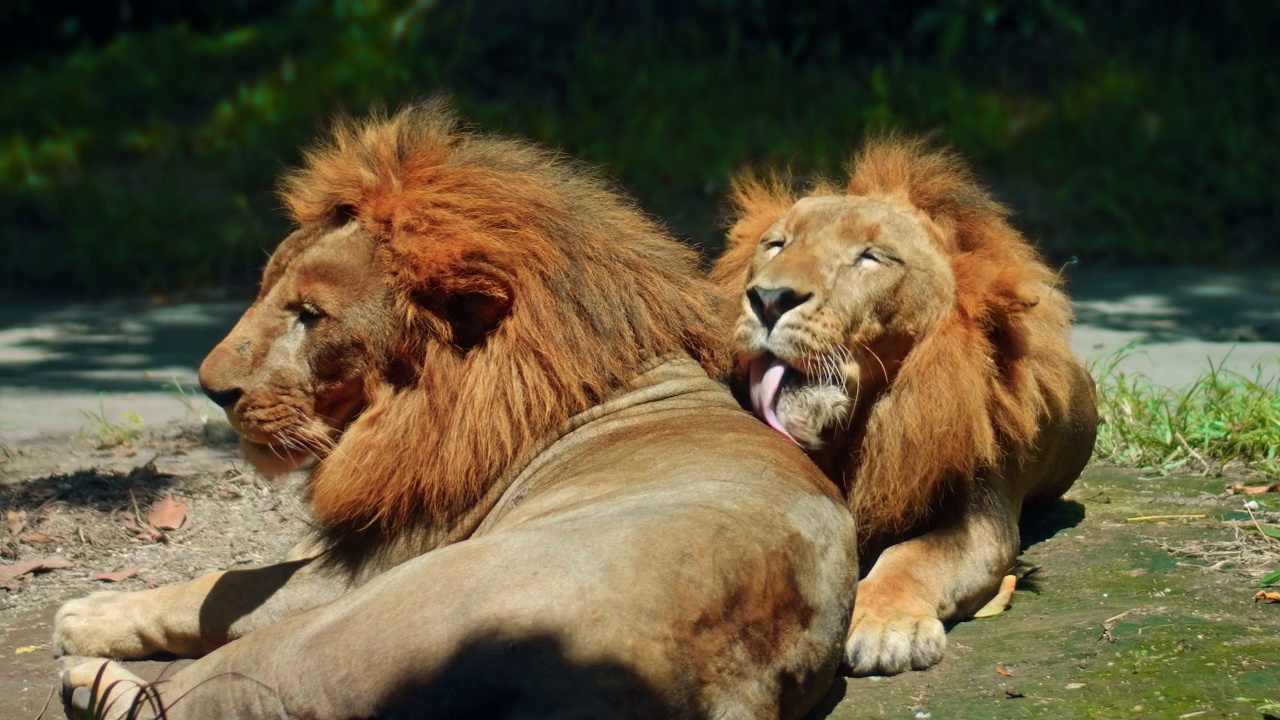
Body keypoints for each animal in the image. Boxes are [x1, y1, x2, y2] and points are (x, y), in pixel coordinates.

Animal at [49, 102, 855, 717]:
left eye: (309, 315)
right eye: (266, 287)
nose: (212, 387)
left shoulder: (363, 567)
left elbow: (222, 585)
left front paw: (86, 616)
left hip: (339, 630)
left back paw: (87, 676)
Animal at [711, 137, 1100, 676]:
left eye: (872, 257)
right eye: (777, 245)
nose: (768, 299)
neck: (858, 422)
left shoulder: (982, 516)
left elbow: (911, 557)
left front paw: (884, 626)